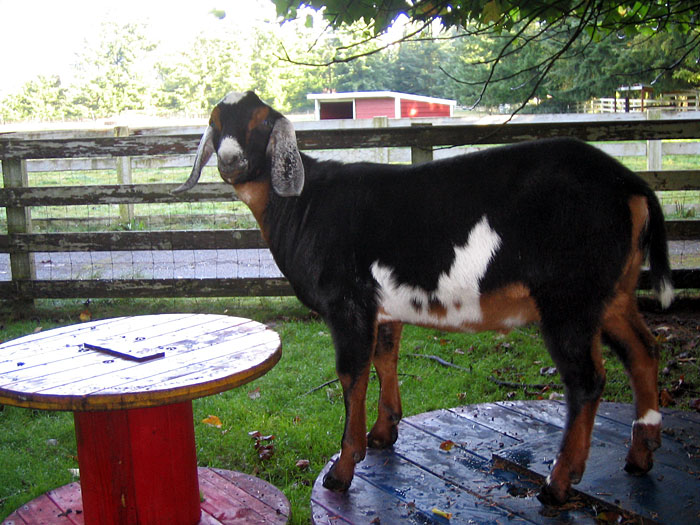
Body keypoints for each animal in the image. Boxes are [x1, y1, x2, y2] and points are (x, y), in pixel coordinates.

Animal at [174, 91, 673, 505]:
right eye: (216, 123)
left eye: (260, 124)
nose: (231, 160)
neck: (303, 204)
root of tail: (631, 185)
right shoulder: (383, 306)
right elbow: (385, 357)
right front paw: (384, 432)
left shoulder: (348, 304)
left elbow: (351, 376)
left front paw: (343, 469)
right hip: (612, 292)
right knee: (643, 350)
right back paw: (642, 453)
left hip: (569, 295)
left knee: (587, 379)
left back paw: (558, 484)